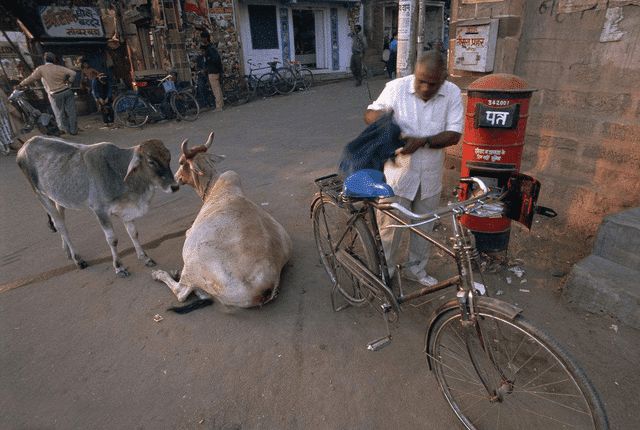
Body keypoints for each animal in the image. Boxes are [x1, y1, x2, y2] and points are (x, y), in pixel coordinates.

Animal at [17, 135, 178, 276]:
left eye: (168, 158)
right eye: (151, 161)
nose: (175, 186)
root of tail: (26, 144)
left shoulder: (126, 210)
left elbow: (134, 233)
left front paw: (145, 258)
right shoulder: (100, 211)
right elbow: (112, 240)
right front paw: (119, 267)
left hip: (57, 197)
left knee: (59, 220)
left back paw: (67, 251)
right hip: (41, 196)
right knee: (61, 225)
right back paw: (78, 259)